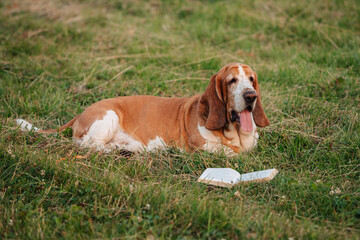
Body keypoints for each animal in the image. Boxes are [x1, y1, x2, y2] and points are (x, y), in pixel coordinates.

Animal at [17, 62, 270, 156]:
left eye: (251, 79)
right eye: (231, 81)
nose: (251, 96)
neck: (233, 132)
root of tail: (81, 113)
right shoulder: (200, 146)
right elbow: (229, 152)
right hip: (108, 117)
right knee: (88, 144)